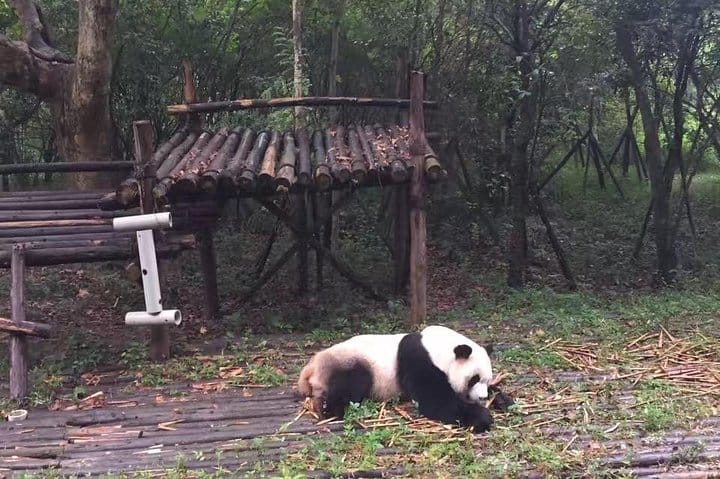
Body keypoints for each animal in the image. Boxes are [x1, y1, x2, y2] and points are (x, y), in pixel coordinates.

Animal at [297, 325, 513, 432]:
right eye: (474, 379)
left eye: (487, 379)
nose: (482, 398)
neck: (438, 347)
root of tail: (312, 365)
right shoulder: (419, 360)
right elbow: (435, 400)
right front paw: (481, 417)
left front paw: (503, 400)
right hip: (349, 363)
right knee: (351, 383)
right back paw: (330, 409)